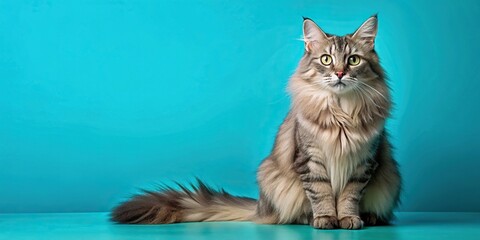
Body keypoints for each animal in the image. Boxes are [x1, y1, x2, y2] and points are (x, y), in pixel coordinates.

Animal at [109, 15, 402, 230]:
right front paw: (326, 219)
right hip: (272, 177)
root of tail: (261, 206)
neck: (341, 112)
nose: (340, 73)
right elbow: (321, 194)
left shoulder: (364, 162)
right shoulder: (310, 160)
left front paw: (349, 218)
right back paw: (308, 218)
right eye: (326, 60)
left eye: (353, 60)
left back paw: (371, 217)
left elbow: (350, 196)